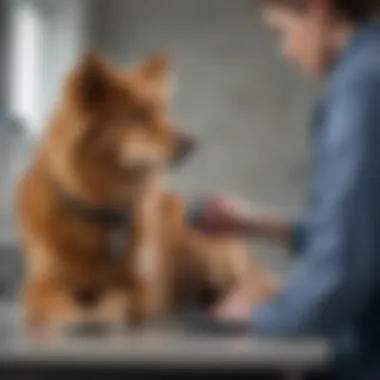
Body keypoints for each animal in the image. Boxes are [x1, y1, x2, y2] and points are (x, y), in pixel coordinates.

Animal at [15, 52, 276, 332]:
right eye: (137, 114)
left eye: (164, 111)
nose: (193, 142)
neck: (102, 210)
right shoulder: (40, 285)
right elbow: (56, 304)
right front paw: (75, 317)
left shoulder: (143, 287)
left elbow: (117, 299)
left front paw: (101, 314)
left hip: (207, 248)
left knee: (259, 282)